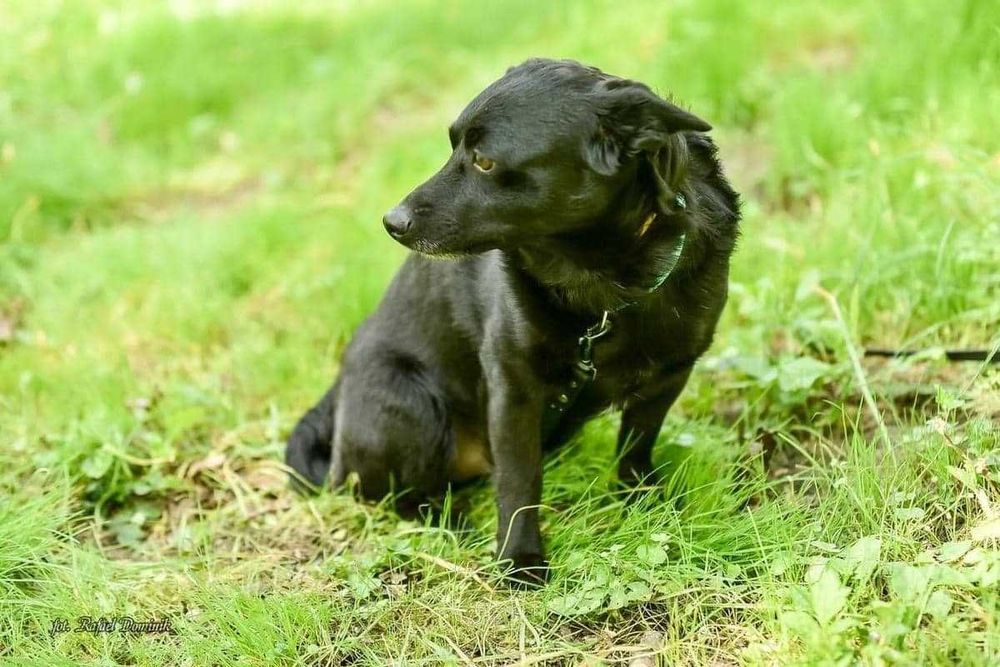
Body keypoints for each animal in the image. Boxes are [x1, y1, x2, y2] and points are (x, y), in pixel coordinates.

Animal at [286, 58, 740, 585]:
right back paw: (450, 521)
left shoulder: (668, 376)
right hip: (413, 404)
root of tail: (336, 399)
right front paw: (520, 559)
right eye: (453, 147)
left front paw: (642, 504)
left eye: (484, 161)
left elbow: (635, 448)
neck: (603, 285)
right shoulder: (513, 387)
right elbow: (521, 481)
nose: (392, 221)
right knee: (397, 495)